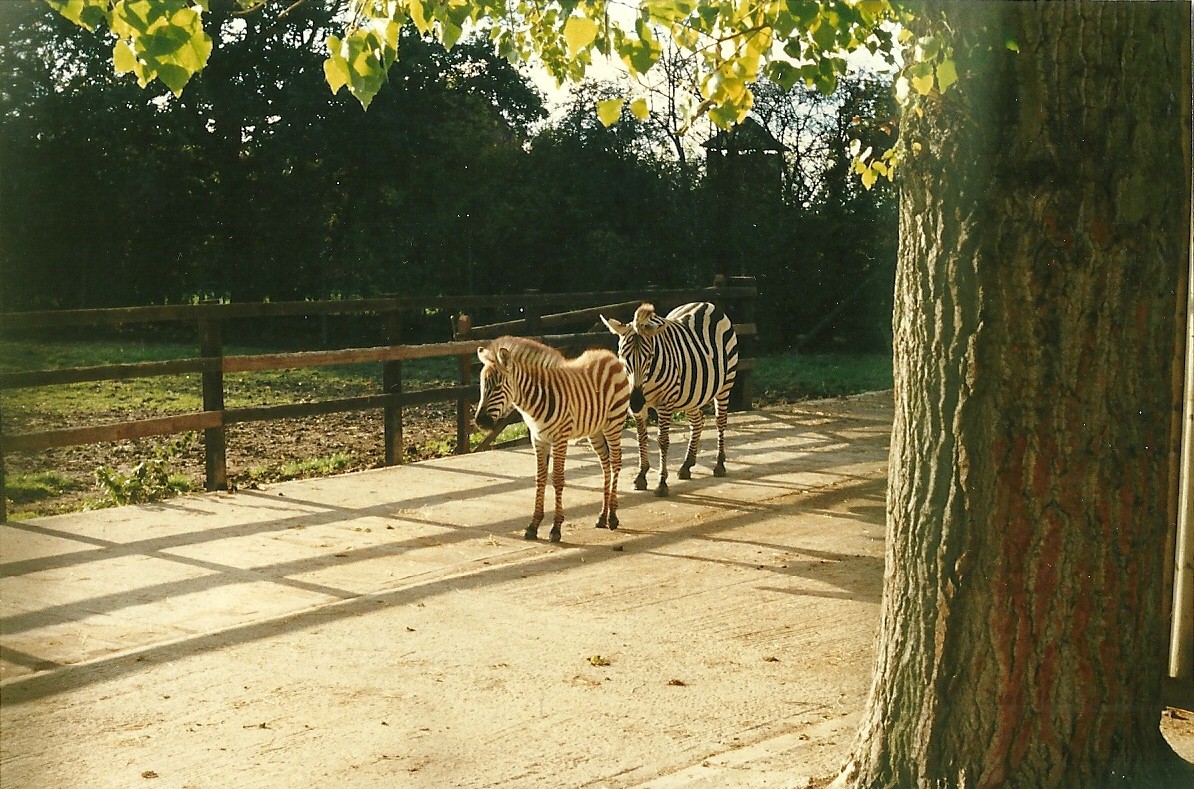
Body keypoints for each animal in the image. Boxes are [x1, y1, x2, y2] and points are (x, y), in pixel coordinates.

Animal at [474, 336, 631, 542]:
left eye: (498, 386)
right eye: (482, 386)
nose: (480, 422)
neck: (534, 402)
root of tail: (609, 355)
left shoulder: (560, 439)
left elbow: (557, 479)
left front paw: (556, 528)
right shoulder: (538, 439)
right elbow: (540, 479)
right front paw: (533, 526)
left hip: (614, 423)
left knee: (616, 462)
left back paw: (612, 517)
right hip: (595, 430)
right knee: (606, 464)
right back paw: (602, 516)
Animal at [601, 302, 738, 497]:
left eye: (650, 356)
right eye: (622, 356)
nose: (636, 402)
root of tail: (706, 304)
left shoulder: (664, 403)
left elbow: (662, 441)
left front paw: (661, 483)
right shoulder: (638, 408)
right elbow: (641, 438)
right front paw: (641, 476)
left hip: (726, 382)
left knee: (720, 421)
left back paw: (719, 465)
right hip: (691, 393)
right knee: (698, 421)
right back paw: (687, 465)